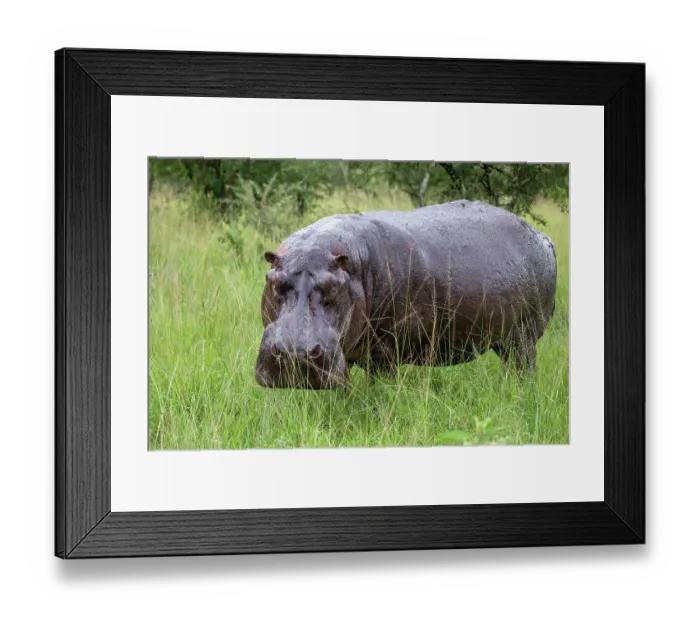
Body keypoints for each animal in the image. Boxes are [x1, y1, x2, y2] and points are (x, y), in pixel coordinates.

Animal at [254, 200, 557, 389]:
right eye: (274, 281)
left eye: (334, 286)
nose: (295, 352)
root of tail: (542, 236)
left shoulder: (384, 352)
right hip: (504, 339)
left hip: (524, 337)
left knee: (524, 369)